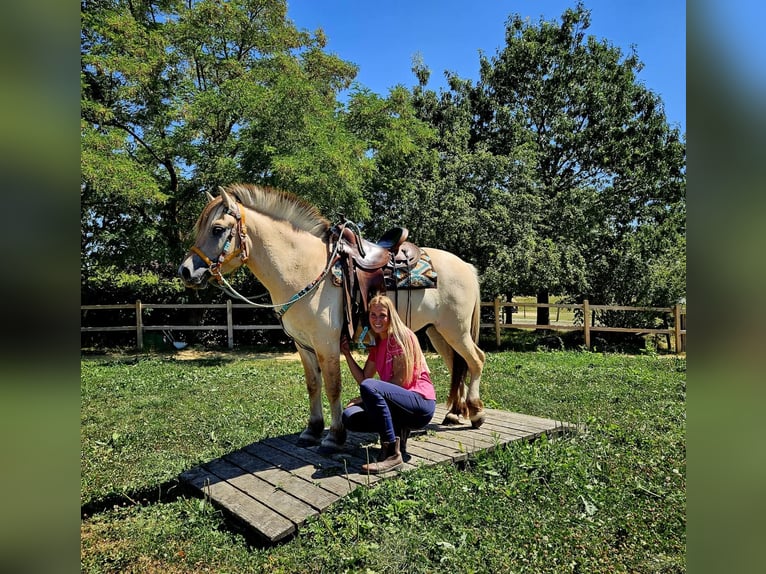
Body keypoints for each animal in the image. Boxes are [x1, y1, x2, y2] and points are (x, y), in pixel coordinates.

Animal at [178, 183, 485, 452]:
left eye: (218, 229)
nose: (185, 271)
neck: (305, 267)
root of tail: (465, 266)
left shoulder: (326, 343)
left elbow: (333, 386)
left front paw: (335, 436)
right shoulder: (303, 345)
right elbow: (313, 385)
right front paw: (312, 430)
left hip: (456, 330)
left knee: (476, 360)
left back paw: (475, 413)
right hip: (438, 332)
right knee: (457, 365)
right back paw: (454, 413)